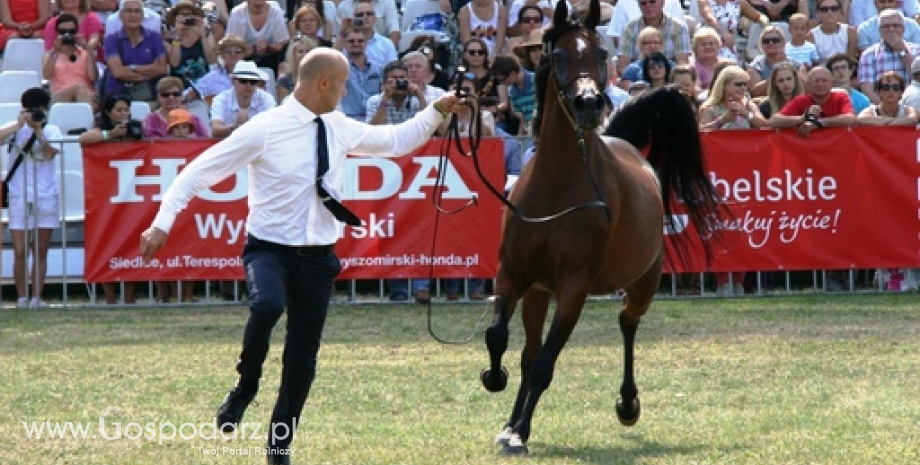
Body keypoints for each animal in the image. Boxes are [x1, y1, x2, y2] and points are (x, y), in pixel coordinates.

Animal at [482, 0, 724, 454]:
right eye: (558, 55)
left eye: (599, 54)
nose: (590, 105)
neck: (557, 186)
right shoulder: (513, 273)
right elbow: (499, 338)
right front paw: (496, 385)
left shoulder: (573, 288)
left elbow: (545, 364)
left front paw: (521, 430)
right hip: (539, 292)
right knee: (529, 349)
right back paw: (510, 420)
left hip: (643, 283)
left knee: (627, 323)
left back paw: (627, 404)